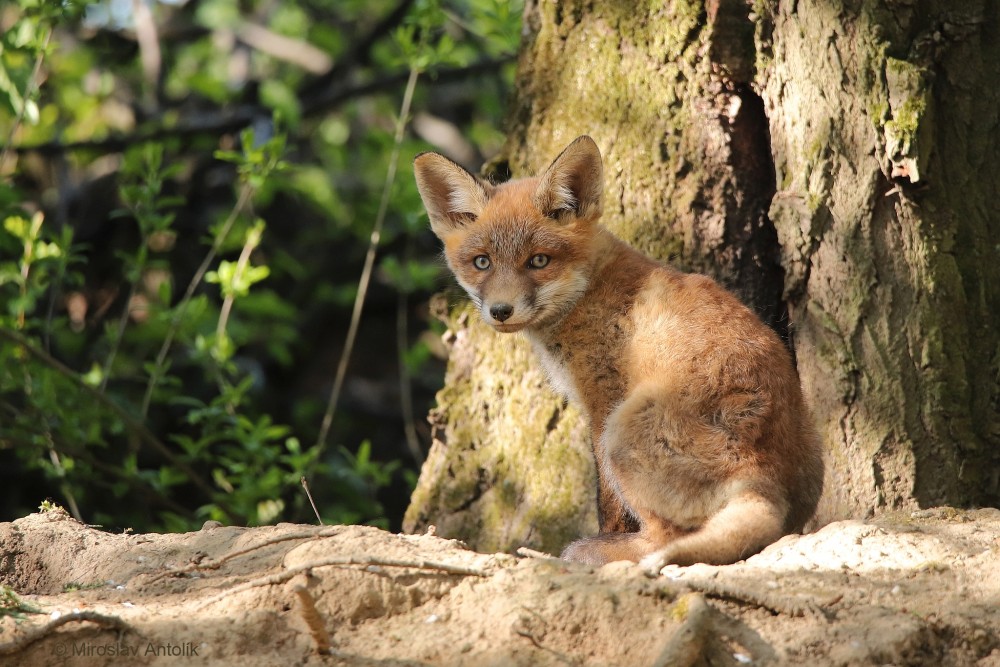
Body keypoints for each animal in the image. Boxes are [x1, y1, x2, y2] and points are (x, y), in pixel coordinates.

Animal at [412, 137, 820, 576]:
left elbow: (607, 500)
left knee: (665, 537)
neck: (588, 289)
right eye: (482, 262)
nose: (500, 311)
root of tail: (763, 471)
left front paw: (603, 535)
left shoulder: (602, 400)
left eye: (538, 261)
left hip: (623, 431)